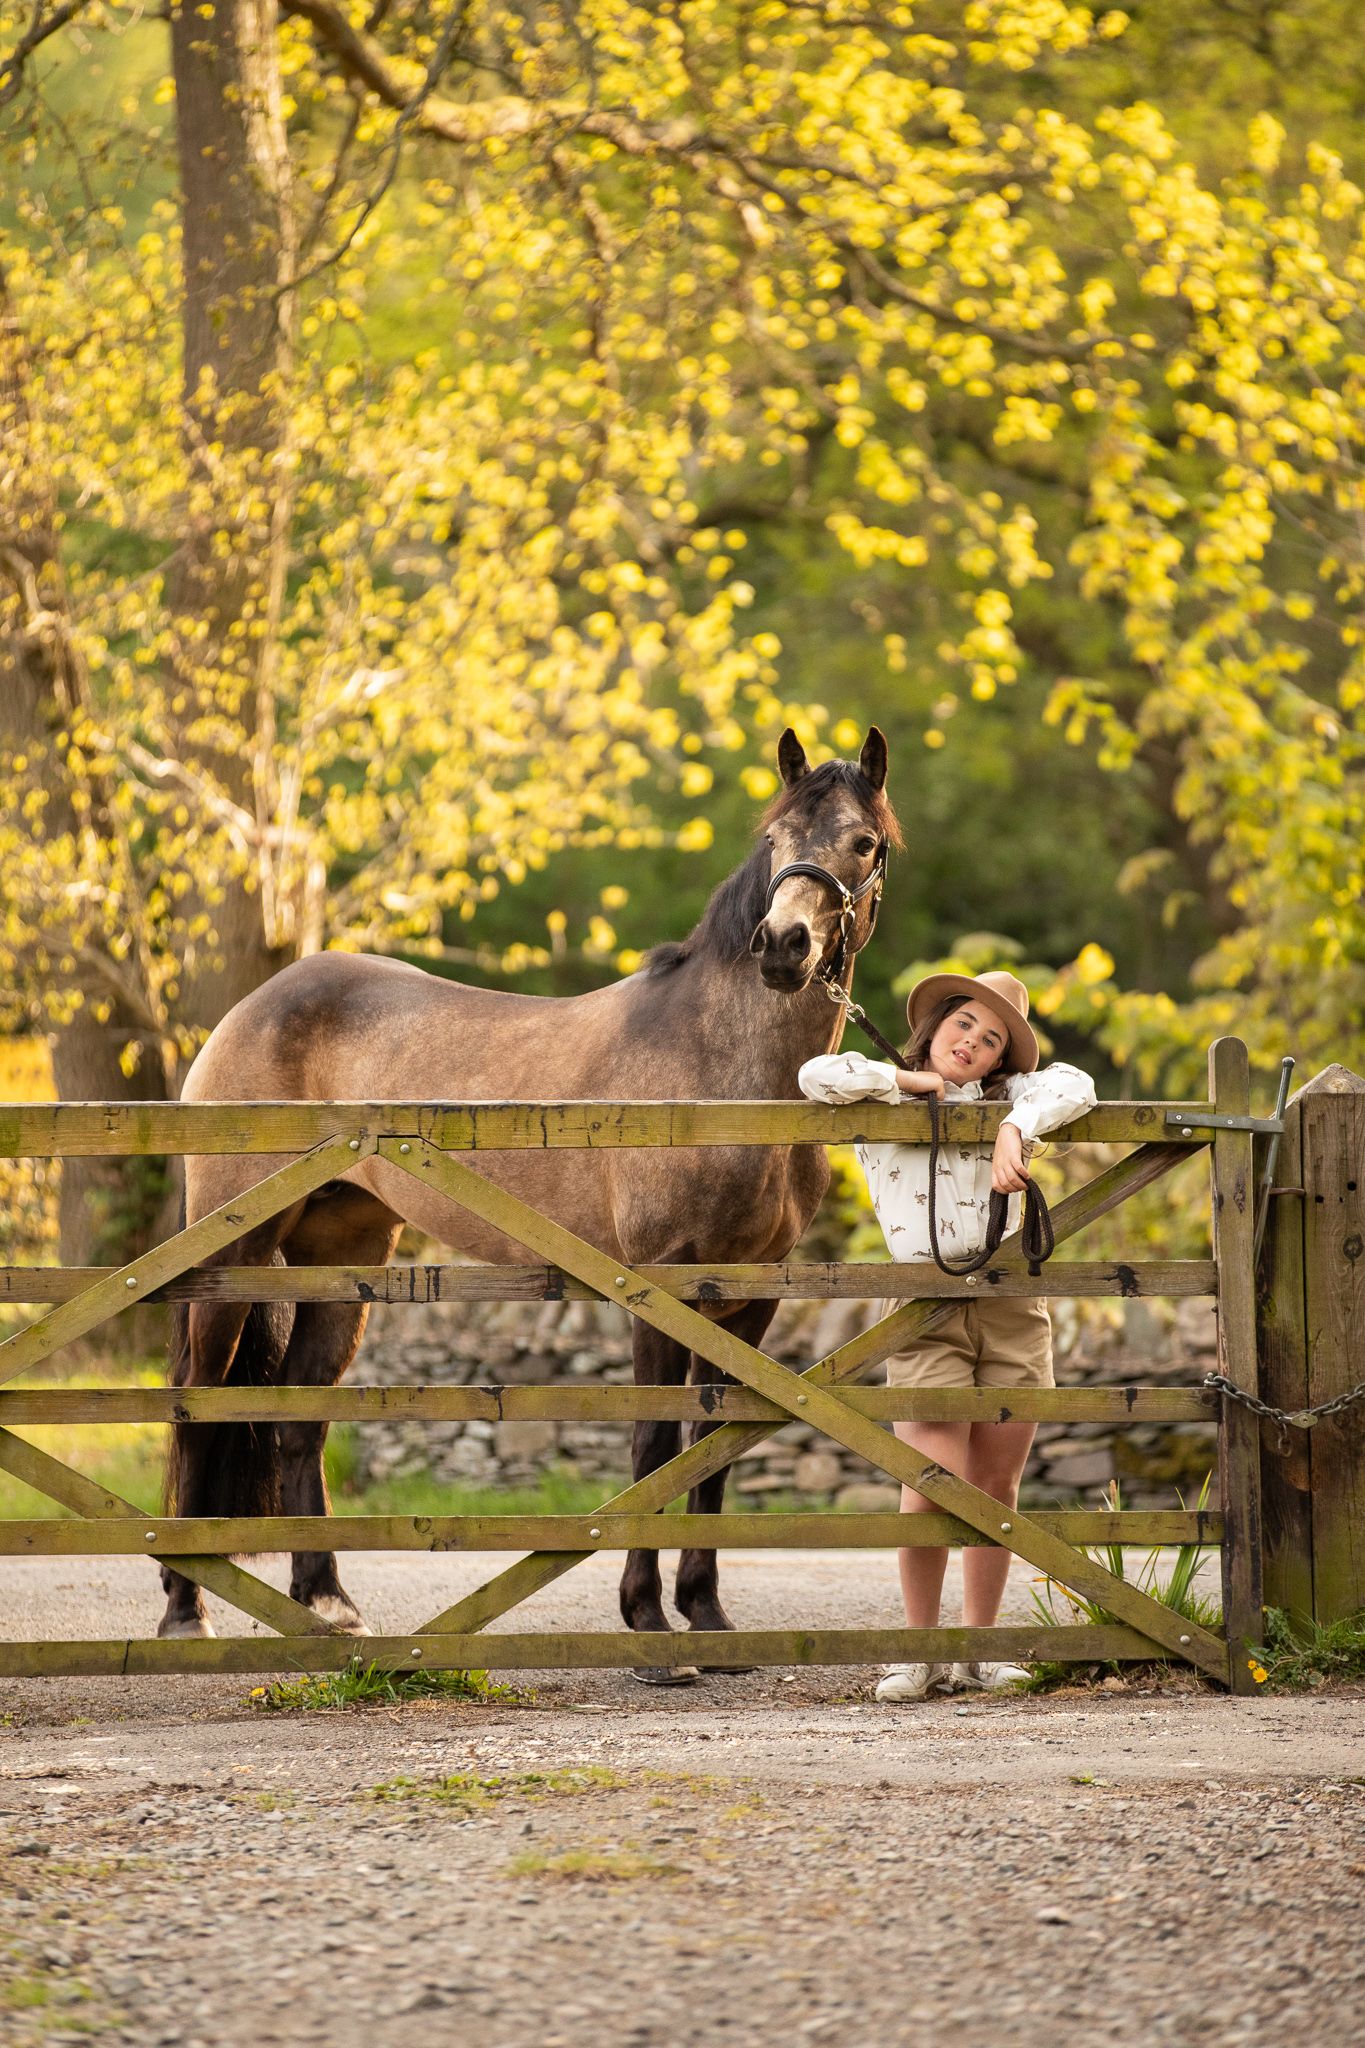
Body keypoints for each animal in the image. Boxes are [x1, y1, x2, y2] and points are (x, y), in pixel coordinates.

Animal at [159, 725, 901, 1676]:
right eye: (774, 837)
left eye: (863, 843)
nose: (782, 947)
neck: (719, 1069)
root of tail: (256, 1004)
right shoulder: (660, 1285)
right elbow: (654, 1443)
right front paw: (650, 1628)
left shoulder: (750, 1296)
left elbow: (714, 1448)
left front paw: (707, 1617)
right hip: (232, 1259)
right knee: (197, 1403)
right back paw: (186, 1611)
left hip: (342, 1256)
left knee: (298, 1418)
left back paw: (328, 1606)